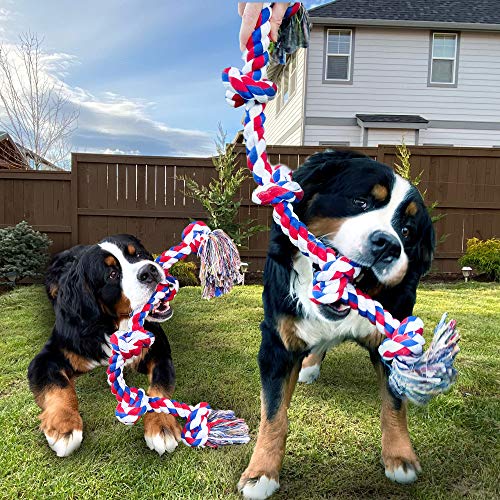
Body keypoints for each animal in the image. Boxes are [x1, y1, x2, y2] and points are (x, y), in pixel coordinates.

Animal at [26, 234, 180, 458]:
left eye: (139, 255)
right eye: (113, 274)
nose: (149, 271)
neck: (110, 325)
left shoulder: (158, 350)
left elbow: (160, 386)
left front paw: (162, 425)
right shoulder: (46, 357)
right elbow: (58, 386)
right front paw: (64, 427)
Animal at [237, 150, 434, 498]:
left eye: (408, 231)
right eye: (360, 201)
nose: (388, 245)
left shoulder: (394, 341)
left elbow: (394, 405)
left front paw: (400, 456)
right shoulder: (276, 344)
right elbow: (273, 414)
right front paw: (261, 473)